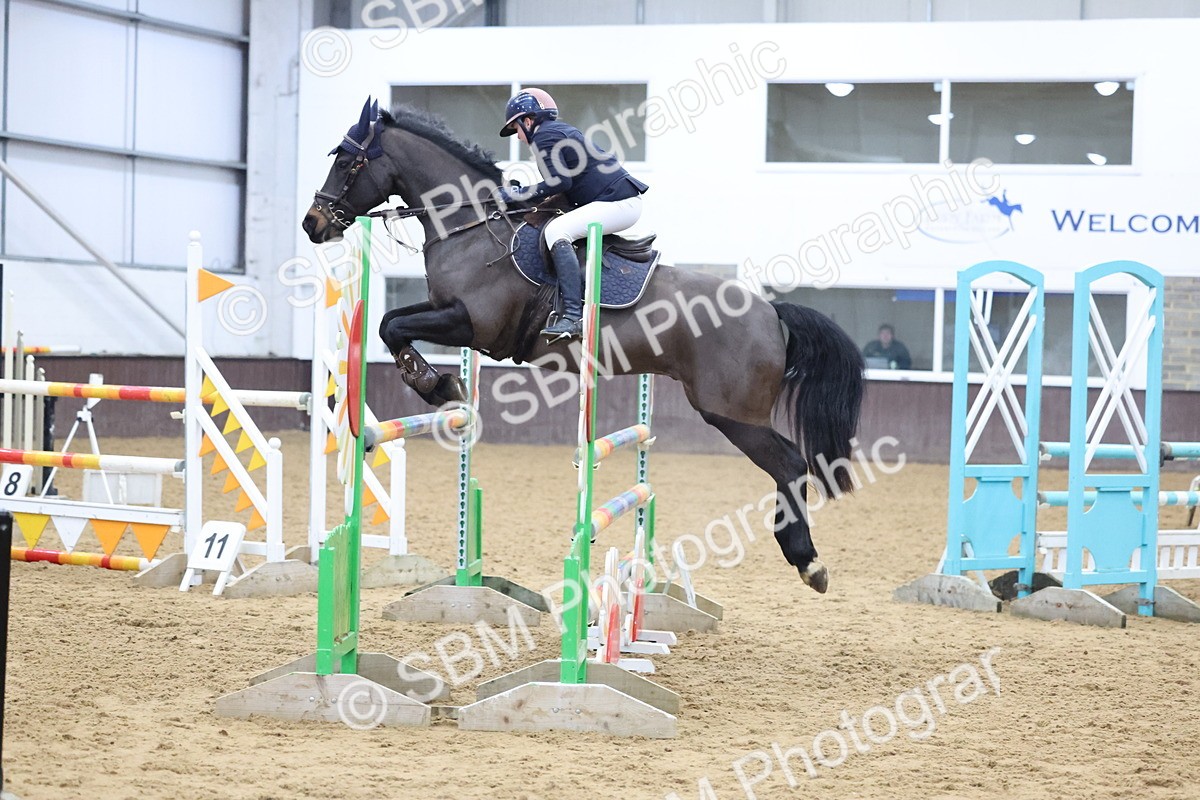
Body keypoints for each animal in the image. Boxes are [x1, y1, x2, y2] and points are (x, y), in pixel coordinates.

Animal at [302, 99, 864, 594]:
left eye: (348, 161)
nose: (314, 223)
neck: (470, 225)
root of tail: (771, 311)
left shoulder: (470, 325)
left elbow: (392, 327)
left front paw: (434, 384)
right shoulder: (449, 315)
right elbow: (390, 322)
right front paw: (440, 382)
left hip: (731, 413)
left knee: (791, 465)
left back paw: (807, 561)